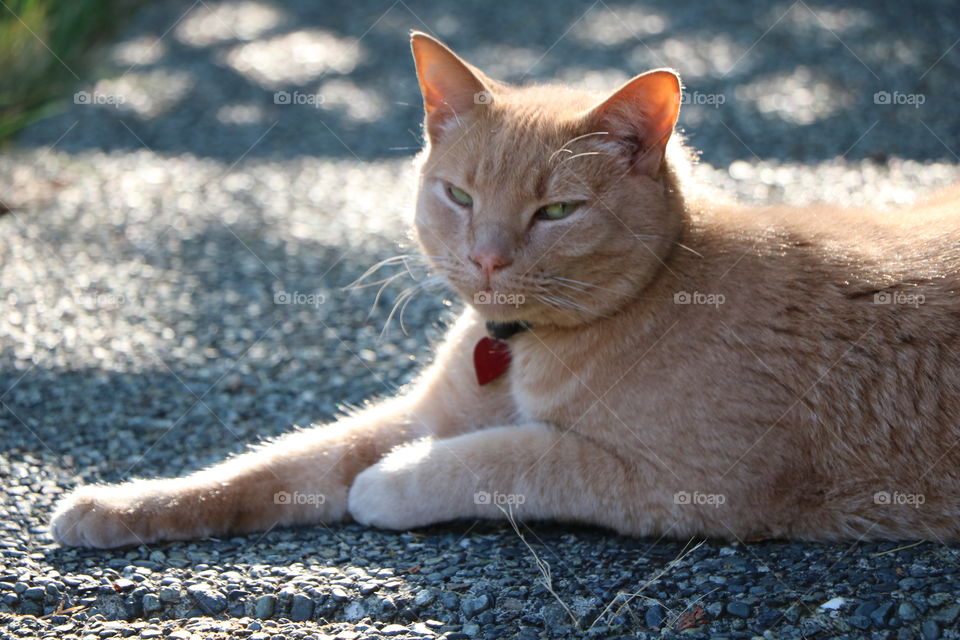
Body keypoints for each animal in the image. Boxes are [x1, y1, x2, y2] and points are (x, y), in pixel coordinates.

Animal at [50, 32, 960, 548]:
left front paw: (388, 486)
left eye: (556, 211)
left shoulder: (676, 485)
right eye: (459, 196)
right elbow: (274, 463)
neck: (517, 349)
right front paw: (121, 505)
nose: (486, 257)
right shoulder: (421, 413)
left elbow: (503, 458)